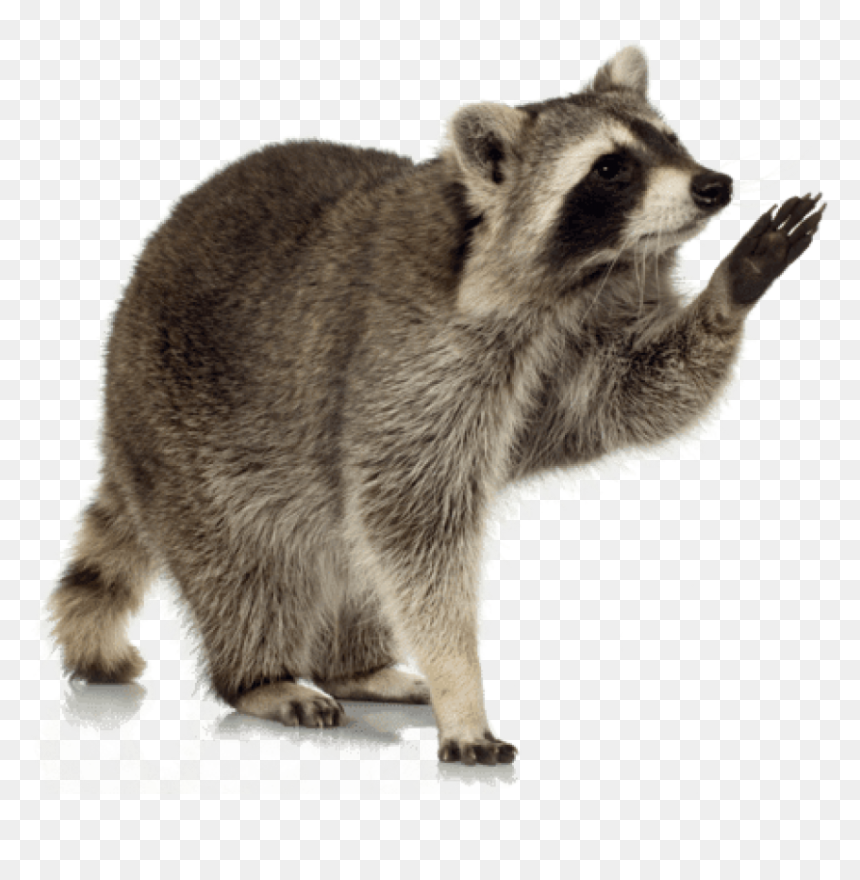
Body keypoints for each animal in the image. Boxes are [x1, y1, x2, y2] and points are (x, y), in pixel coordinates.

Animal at [48, 46, 824, 765]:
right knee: (247, 562)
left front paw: (731, 289)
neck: (573, 283)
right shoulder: (411, 354)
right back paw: (260, 676)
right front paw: (462, 688)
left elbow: (633, 397)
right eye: (610, 169)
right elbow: (415, 524)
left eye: (670, 139)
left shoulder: (574, 343)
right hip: (182, 431)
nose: (714, 186)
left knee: (346, 552)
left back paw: (353, 666)